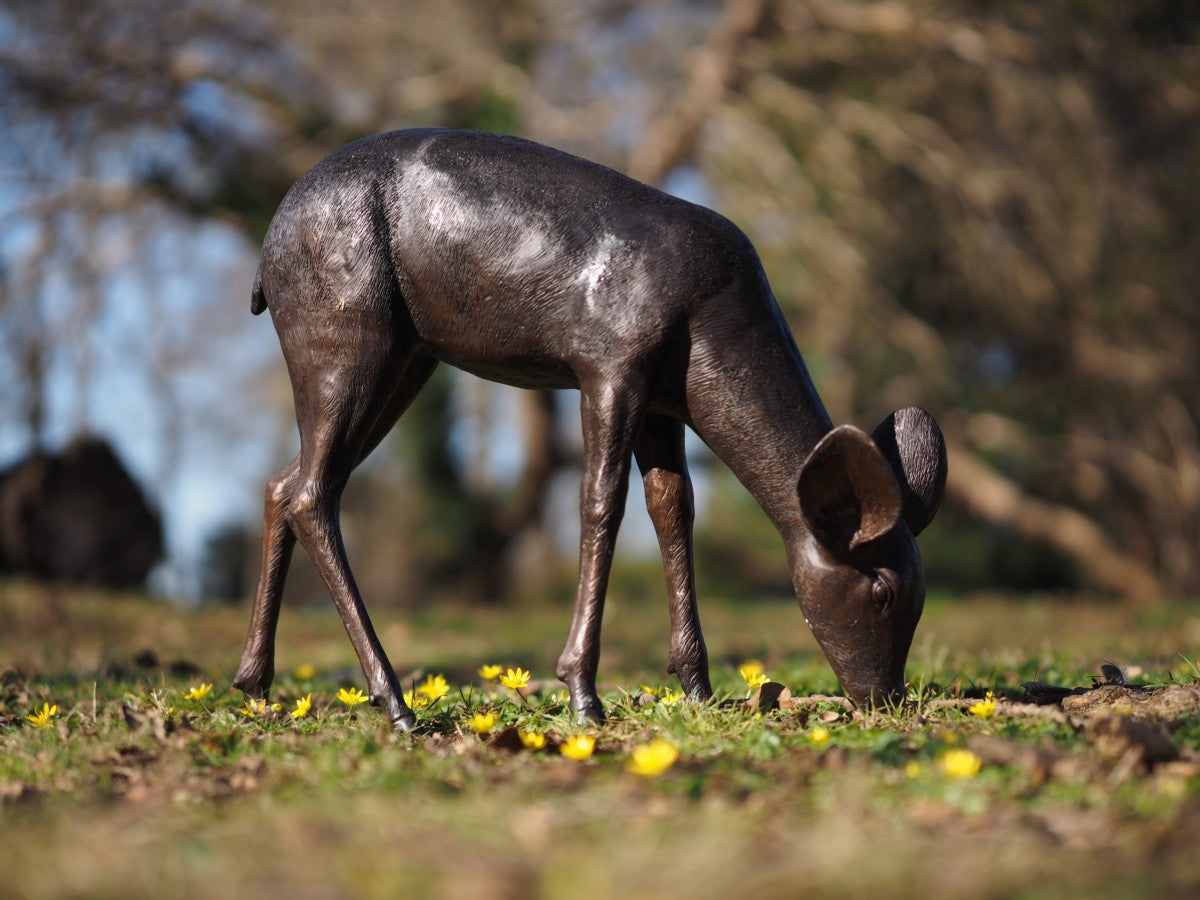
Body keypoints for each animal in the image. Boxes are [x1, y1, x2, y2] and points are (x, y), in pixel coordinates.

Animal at [232, 128, 948, 730]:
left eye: (921, 600)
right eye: (881, 591)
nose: (886, 699)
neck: (713, 321)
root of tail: (264, 262)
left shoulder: (665, 401)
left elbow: (673, 508)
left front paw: (698, 690)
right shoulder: (608, 361)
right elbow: (602, 500)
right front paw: (582, 695)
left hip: (408, 356)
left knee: (283, 483)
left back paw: (256, 686)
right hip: (342, 331)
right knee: (312, 492)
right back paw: (396, 703)